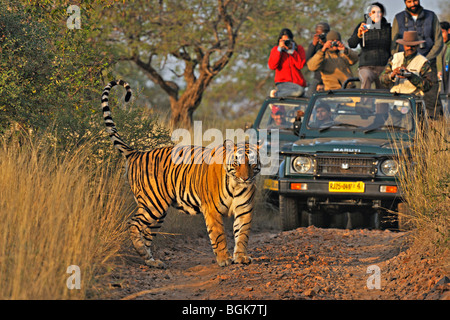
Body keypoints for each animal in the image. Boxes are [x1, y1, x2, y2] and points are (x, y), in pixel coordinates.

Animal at [101, 79, 260, 268]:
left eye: (252, 163)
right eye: (237, 163)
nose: (245, 178)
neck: (236, 185)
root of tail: (137, 153)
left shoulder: (244, 209)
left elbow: (242, 235)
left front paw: (241, 257)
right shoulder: (212, 210)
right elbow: (219, 236)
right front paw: (224, 259)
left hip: (158, 212)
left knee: (146, 233)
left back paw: (151, 261)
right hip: (152, 204)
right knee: (132, 223)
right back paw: (141, 251)